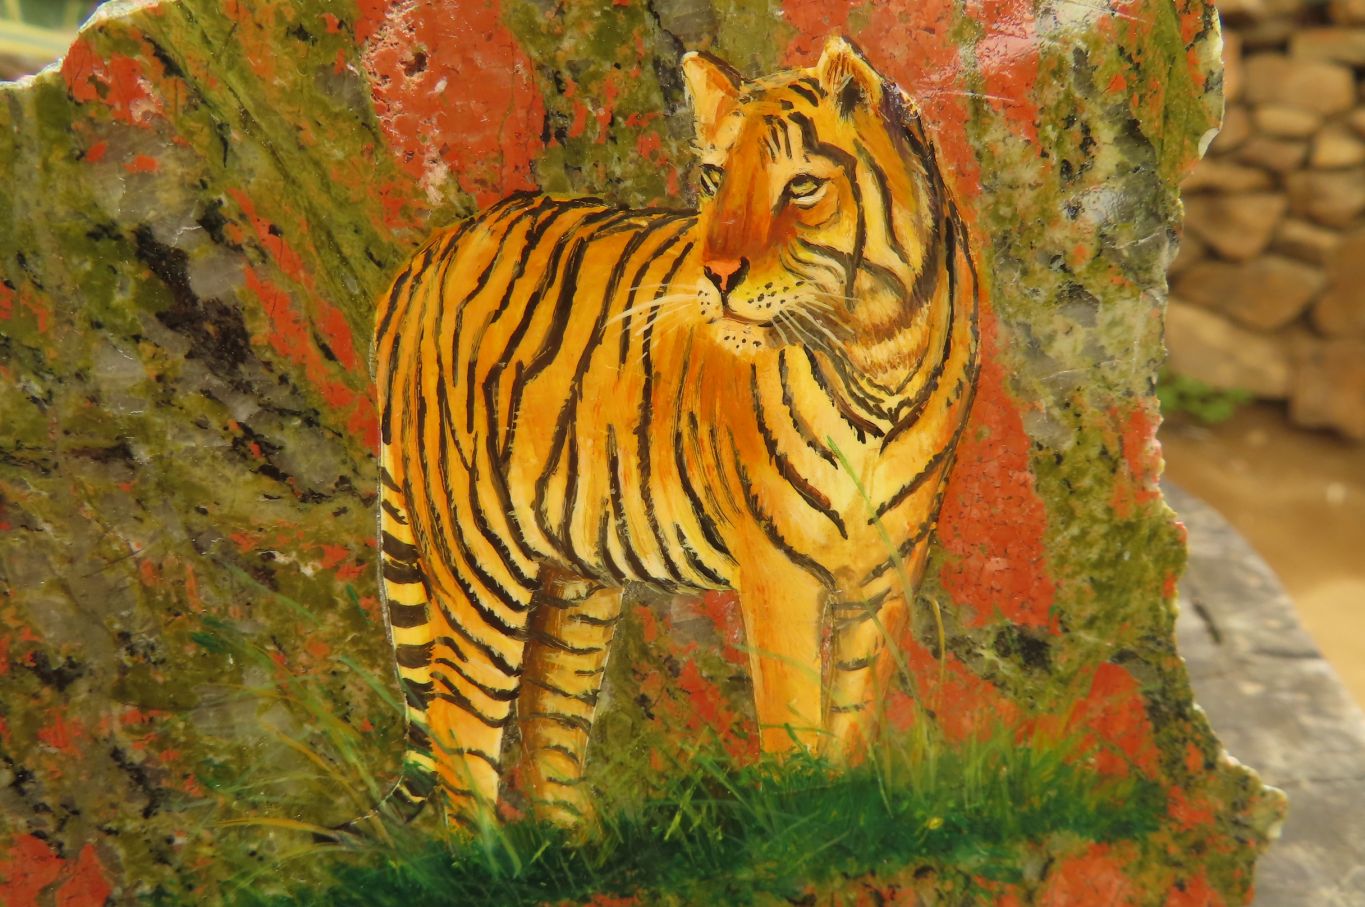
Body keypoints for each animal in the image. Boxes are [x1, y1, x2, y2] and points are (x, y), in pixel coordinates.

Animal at [369, 36, 980, 831]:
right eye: (715, 177)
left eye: (801, 187)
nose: (716, 276)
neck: (877, 350)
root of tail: (430, 254)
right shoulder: (777, 572)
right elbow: (793, 712)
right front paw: (800, 818)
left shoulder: (889, 569)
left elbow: (853, 710)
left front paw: (844, 815)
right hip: (476, 556)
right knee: (460, 719)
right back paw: (487, 852)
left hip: (574, 578)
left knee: (547, 723)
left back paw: (583, 844)